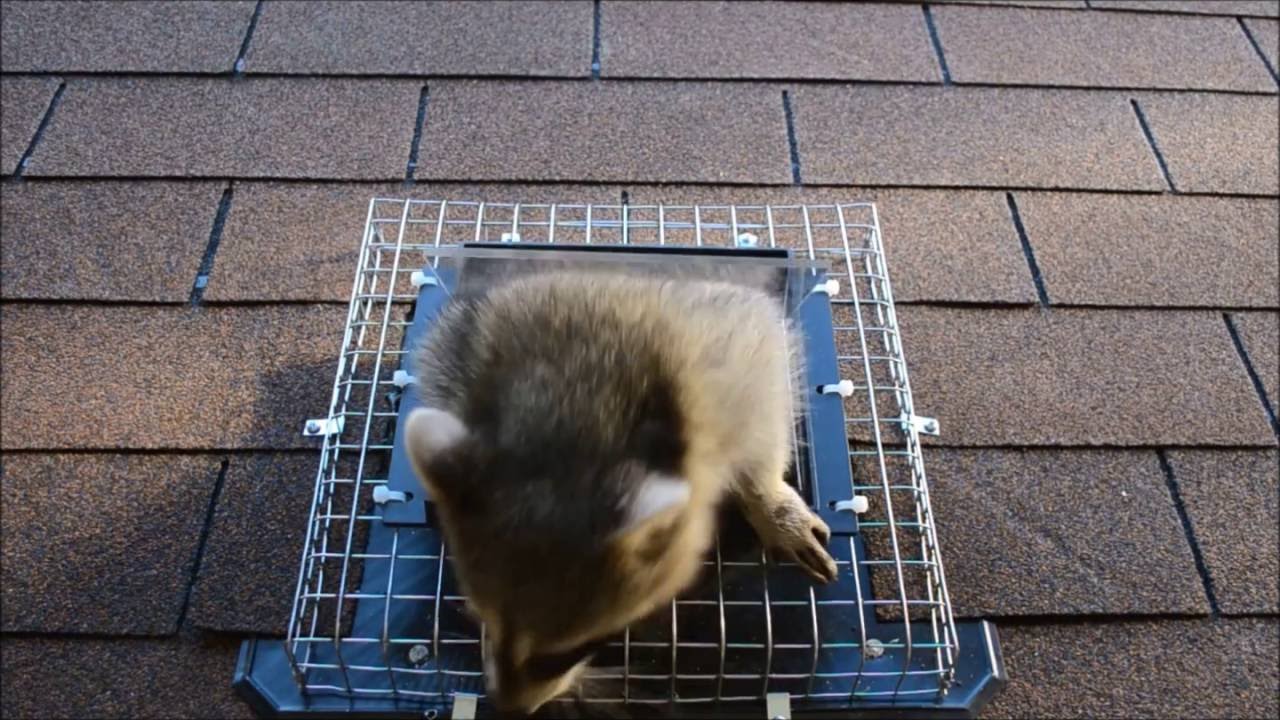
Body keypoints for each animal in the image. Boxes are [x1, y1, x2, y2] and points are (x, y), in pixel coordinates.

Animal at [404, 270, 837, 715]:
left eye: (571, 650)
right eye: (482, 621)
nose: (509, 710)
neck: (572, 426)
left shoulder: (734, 372)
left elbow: (764, 424)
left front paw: (768, 500)